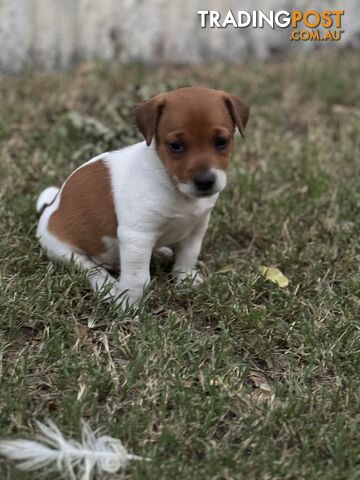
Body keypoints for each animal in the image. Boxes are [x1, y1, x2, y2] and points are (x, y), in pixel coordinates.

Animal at [37, 86, 250, 308]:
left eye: (222, 142)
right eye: (175, 145)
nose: (206, 181)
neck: (174, 187)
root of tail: (50, 207)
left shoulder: (196, 227)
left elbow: (188, 256)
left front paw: (185, 279)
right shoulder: (137, 236)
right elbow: (138, 277)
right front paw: (128, 303)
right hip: (66, 252)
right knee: (92, 269)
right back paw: (107, 287)